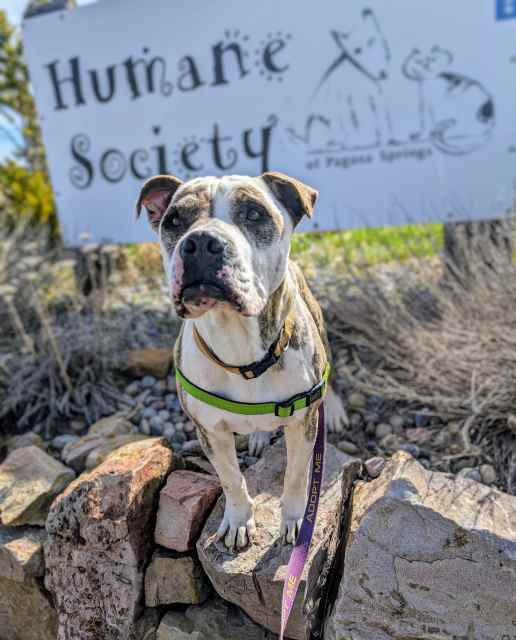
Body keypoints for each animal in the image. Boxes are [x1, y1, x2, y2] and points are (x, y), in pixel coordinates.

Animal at [135, 170, 348, 552]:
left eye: (253, 213)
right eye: (174, 221)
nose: (200, 241)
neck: (240, 349)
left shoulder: (303, 424)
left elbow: (296, 477)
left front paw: (295, 521)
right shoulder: (210, 432)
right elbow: (231, 479)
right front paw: (238, 521)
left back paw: (334, 409)